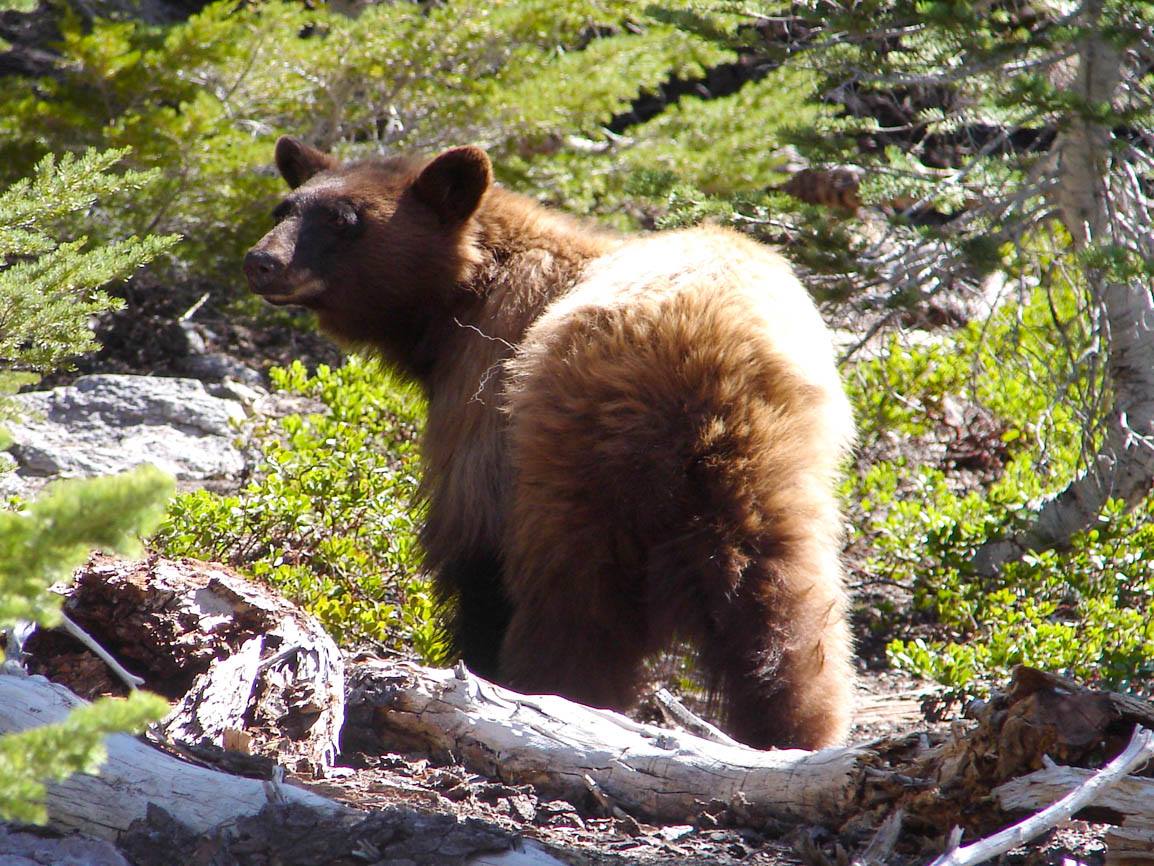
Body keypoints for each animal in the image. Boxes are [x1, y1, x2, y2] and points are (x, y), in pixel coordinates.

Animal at [243, 137, 858, 752]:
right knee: (785, 606)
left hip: (579, 456)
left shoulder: (485, 386)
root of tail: (707, 357)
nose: (261, 262)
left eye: (345, 220)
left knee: (575, 603)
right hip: (773, 465)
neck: (464, 294)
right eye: (283, 209)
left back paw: (555, 696)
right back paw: (796, 730)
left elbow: (475, 540)